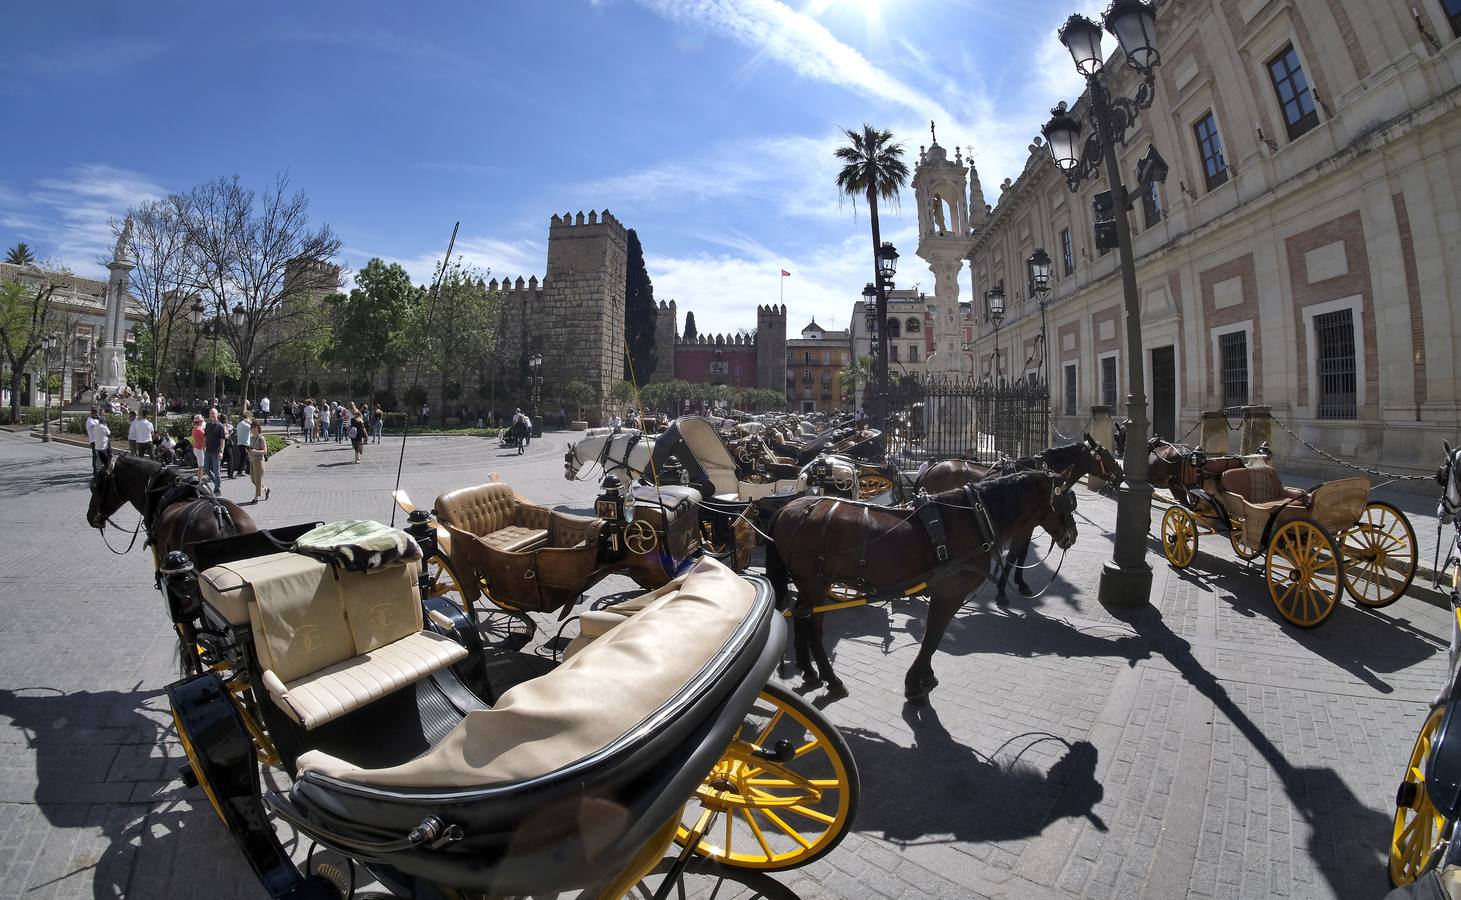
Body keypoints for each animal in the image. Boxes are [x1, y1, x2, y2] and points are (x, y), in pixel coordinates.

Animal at [759, 467, 1081, 707]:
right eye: (1068, 501)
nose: (1073, 535)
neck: (974, 517)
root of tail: (789, 508)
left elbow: (933, 638)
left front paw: (923, 676)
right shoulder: (949, 594)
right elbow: (933, 638)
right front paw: (916, 682)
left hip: (807, 584)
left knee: (801, 616)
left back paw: (809, 671)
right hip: (816, 584)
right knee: (814, 628)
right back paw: (832, 680)